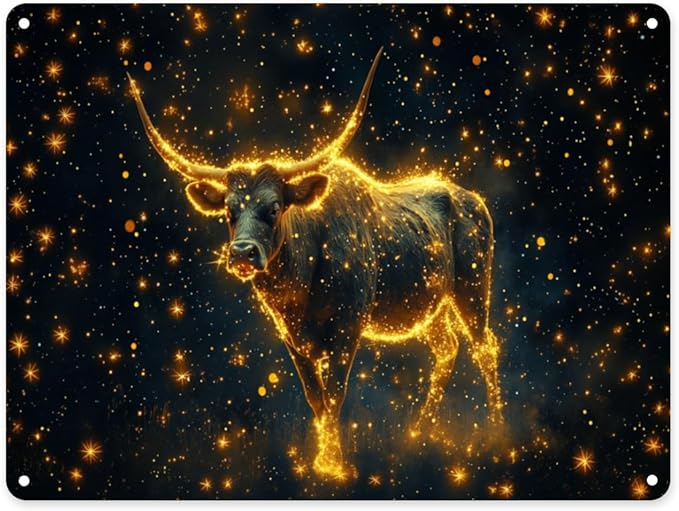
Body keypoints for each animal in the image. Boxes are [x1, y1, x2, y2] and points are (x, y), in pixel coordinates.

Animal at [128, 48, 502, 479]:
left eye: (275, 206)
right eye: (229, 210)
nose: (241, 254)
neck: (300, 289)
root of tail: (474, 200)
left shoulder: (347, 327)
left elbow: (335, 393)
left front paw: (334, 465)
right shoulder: (293, 339)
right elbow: (315, 397)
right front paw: (320, 459)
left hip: (473, 289)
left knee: (485, 348)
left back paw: (496, 429)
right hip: (430, 306)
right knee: (447, 349)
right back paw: (417, 433)